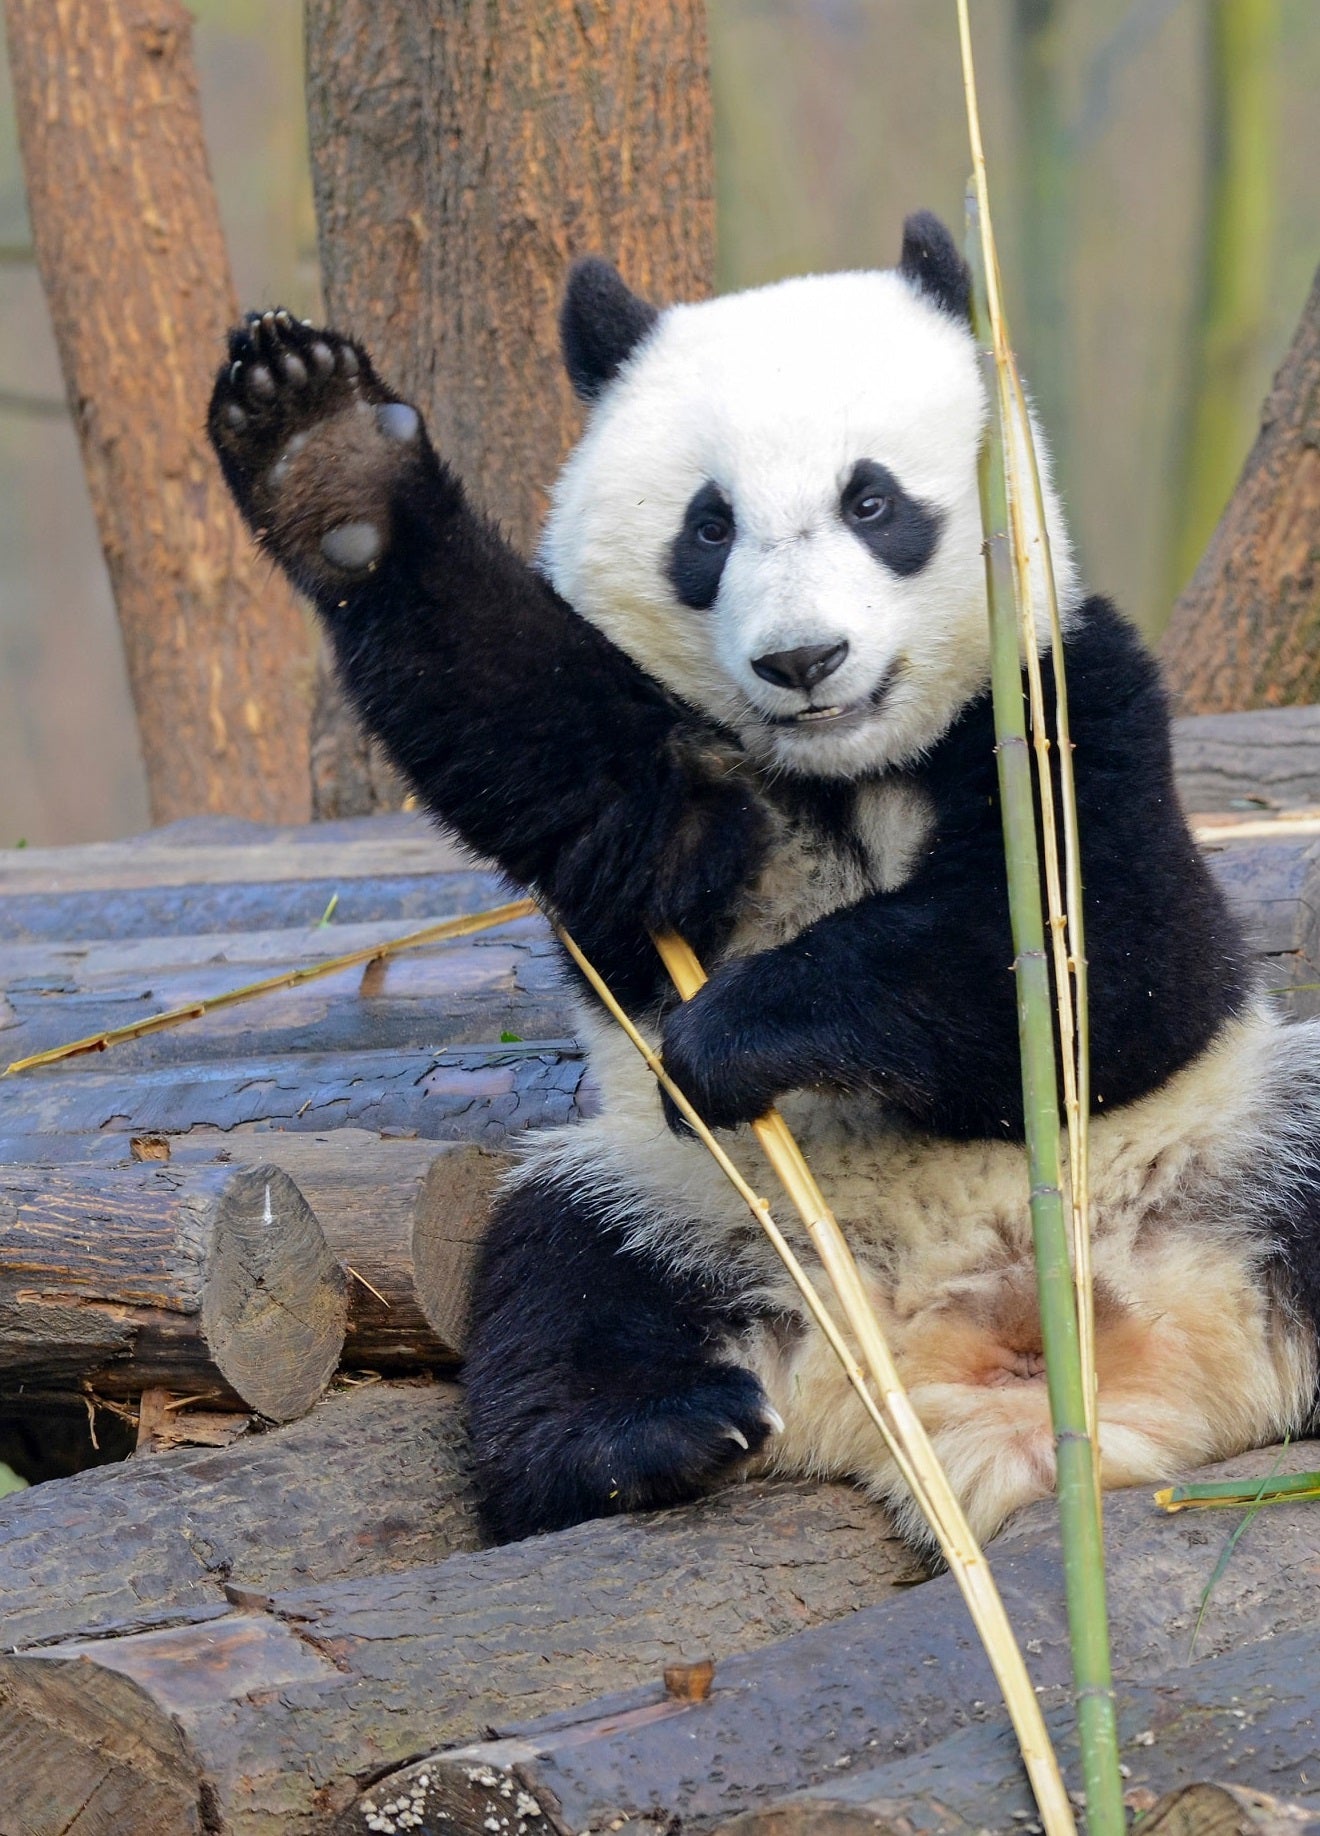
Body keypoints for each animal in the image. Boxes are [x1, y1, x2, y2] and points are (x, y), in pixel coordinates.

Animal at [206, 208, 1320, 1542]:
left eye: (874, 500)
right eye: (710, 526)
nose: (804, 660)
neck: (845, 770)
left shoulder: (1066, 696)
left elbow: (1108, 965)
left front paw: (733, 1032)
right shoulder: (677, 788)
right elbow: (539, 733)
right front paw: (324, 460)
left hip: (1232, 1141)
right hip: (694, 1203)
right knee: (559, 1275)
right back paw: (646, 1439)